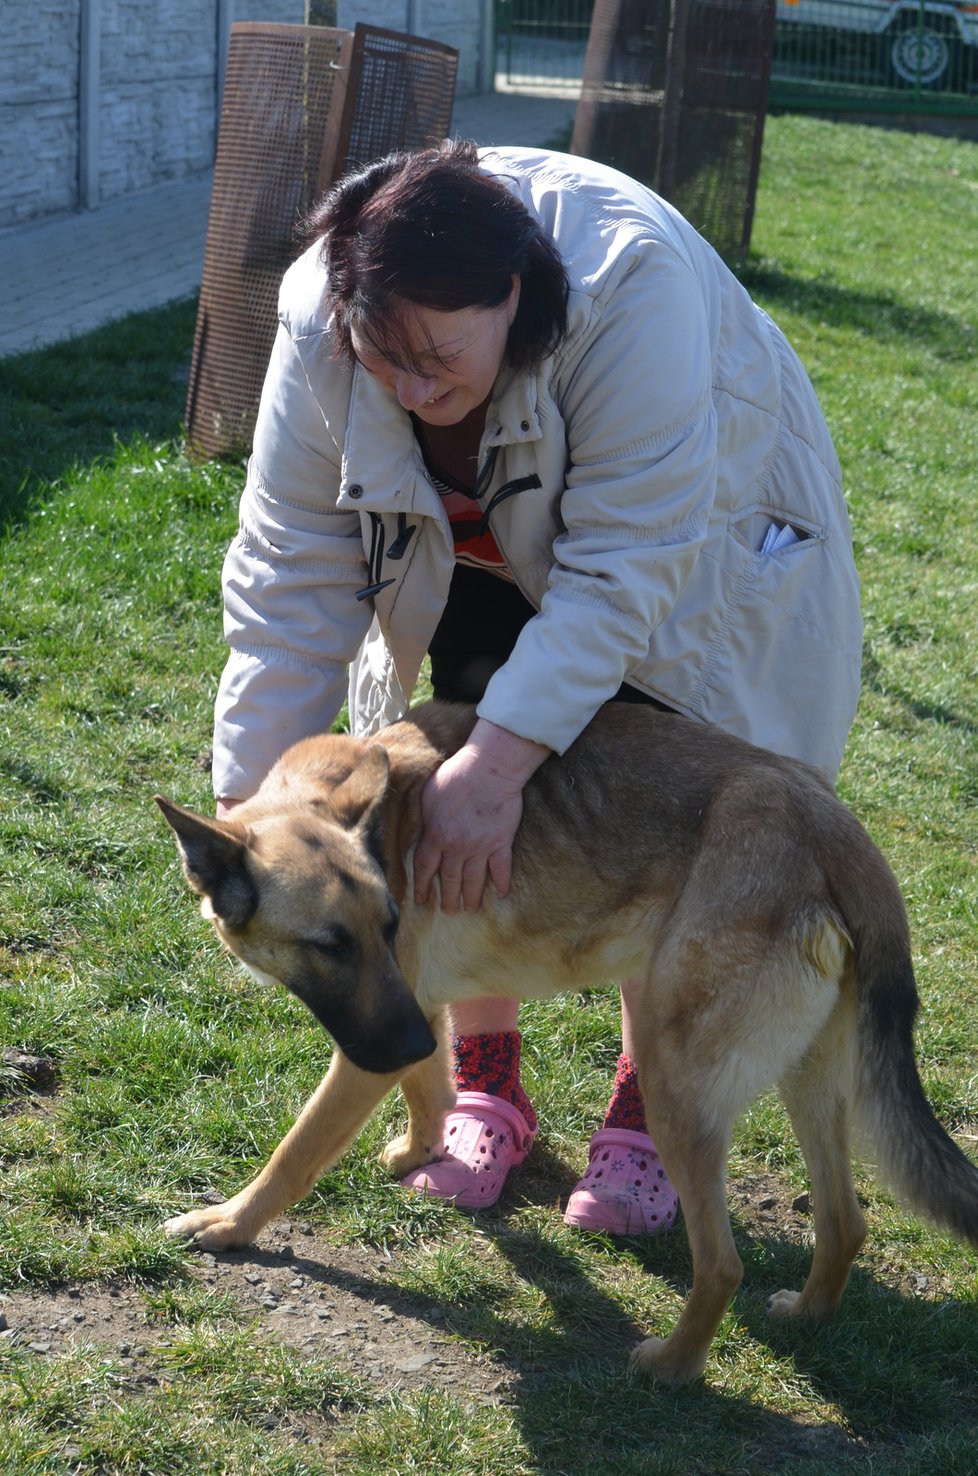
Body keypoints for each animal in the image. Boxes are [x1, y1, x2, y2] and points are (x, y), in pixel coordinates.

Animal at [154, 699, 978, 1381]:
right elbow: (430, 1085)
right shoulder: (416, 1010)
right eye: (331, 944)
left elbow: (296, 1152)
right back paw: (806, 1316)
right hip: (810, 1081)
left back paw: (670, 1366)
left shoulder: (374, 1040)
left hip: (674, 1081)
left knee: (722, 1265)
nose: (408, 1037)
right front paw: (422, 1151)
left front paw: (230, 1224)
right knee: (844, 1224)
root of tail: (838, 830)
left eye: (382, 927)